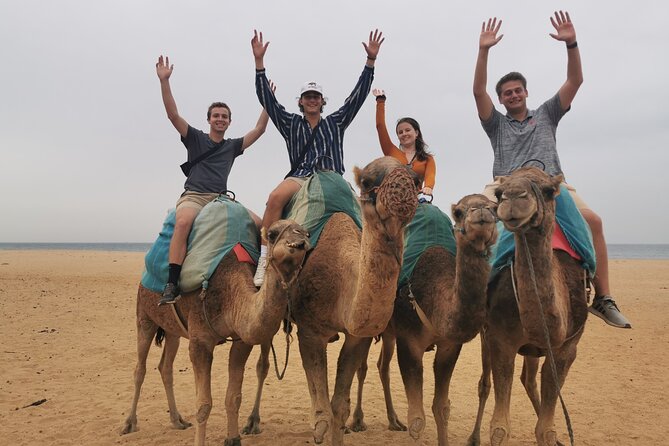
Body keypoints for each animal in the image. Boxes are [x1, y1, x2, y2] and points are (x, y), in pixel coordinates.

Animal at [119, 220, 310, 446]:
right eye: (272, 234)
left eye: (306, 231)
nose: (301, 239)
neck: (230, 293)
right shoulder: (200, 341)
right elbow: (203, 404)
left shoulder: (241, 341)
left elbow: (234, 397)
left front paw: (233, 438)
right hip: (144, 315)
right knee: (140, 368)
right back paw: (129, 424)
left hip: (172, 329)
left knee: (165, 366)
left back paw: (177, 420)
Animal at [288, 155, 418, 444]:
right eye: (367, 181)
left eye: (417, 179)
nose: (403, 189)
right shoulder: (309, 331)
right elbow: (324, 411)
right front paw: (320, 426)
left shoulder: (359, 336)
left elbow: (338, 407)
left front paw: (344, 424)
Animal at [348, 193, 498, 444]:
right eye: (458, 212)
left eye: (495, 208)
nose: (482, 213)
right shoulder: (409, 341)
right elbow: (417, 420)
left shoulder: (449, 346)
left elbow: (442, 408)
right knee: (362, 367)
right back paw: (356, 422)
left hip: (390, 334)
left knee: (382, 366)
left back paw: (393, 420)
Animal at [468, 167, 588, 446]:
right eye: (499, 193)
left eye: (549, 190)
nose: (513, 197)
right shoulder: (501, 339)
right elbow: (500, 428)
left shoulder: (567, 347)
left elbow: (546, 429)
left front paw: (554, 436)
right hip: (486, 334)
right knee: (484, 384)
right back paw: (473, 437)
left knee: (529, 380)